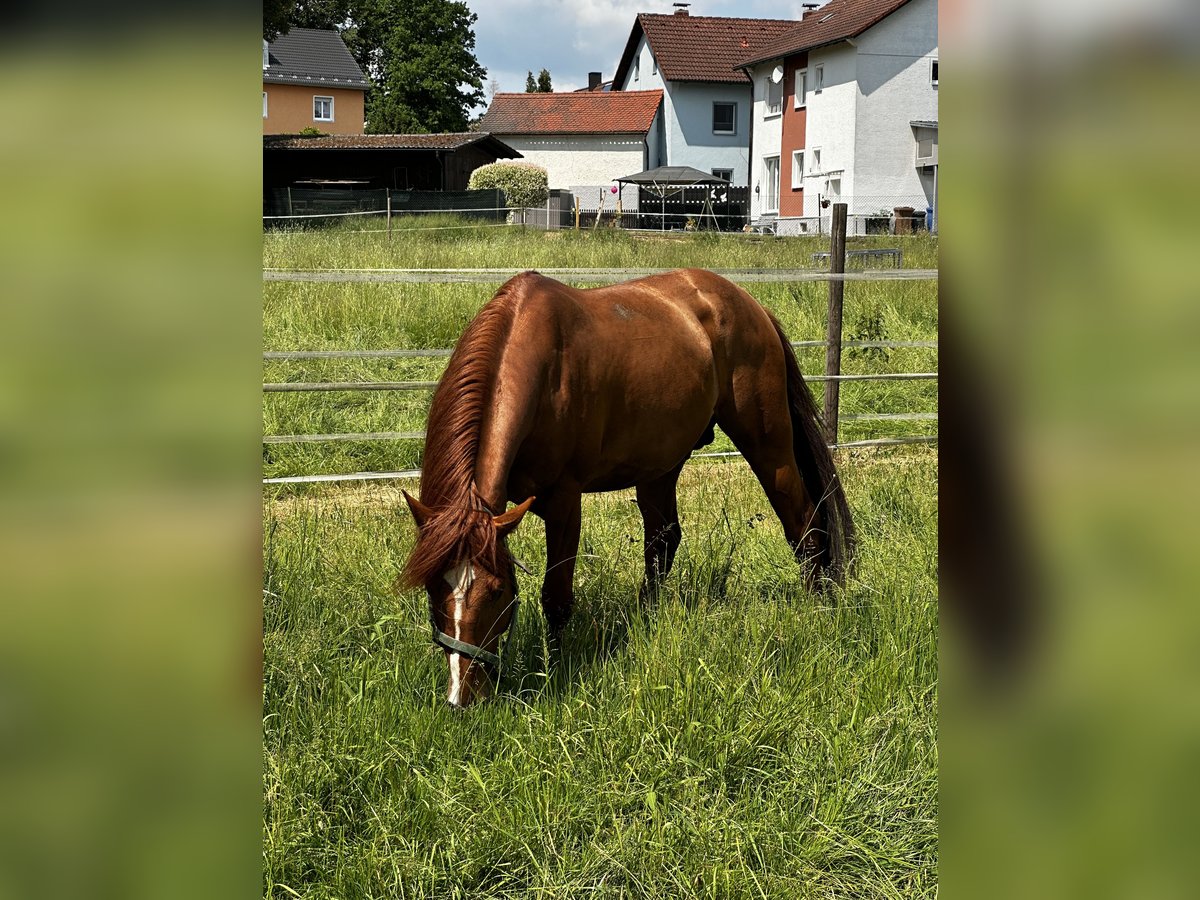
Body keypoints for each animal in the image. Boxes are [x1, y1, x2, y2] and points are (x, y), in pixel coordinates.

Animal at [403, 271, 854, 710]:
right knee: (664, 541)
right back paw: (644, 619)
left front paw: (553, 671)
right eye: (433, 587)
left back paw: (819, 608)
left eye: (497, 591)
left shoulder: (564, 502)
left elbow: (556, 598)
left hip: (768, 445)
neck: (538, 368)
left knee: (804, 525)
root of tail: (750, 305)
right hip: (661, 463)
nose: (462, 697)